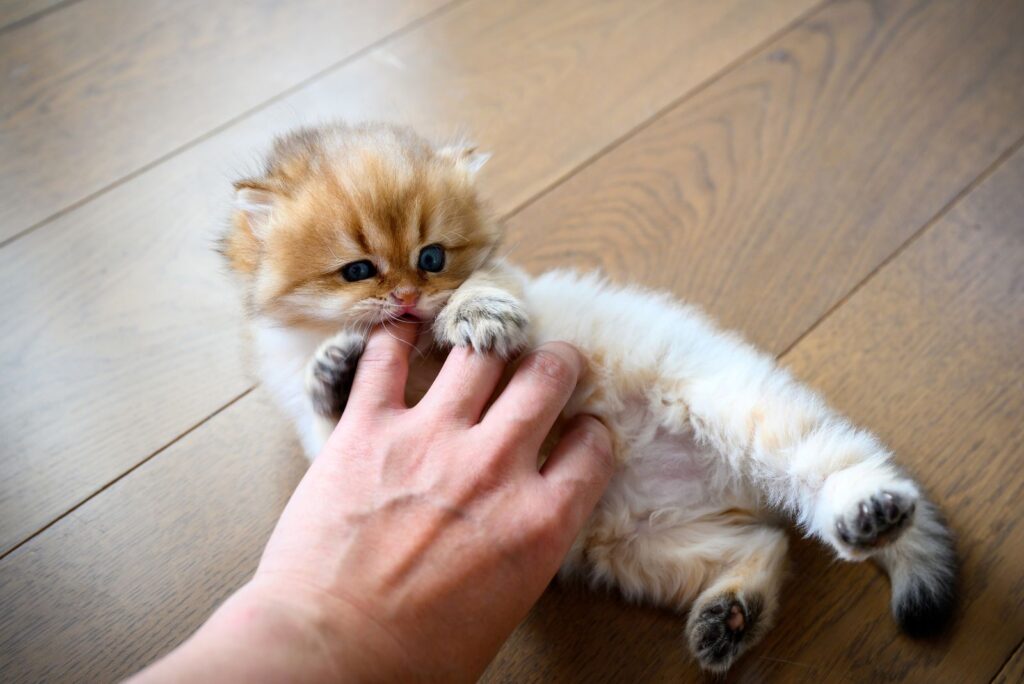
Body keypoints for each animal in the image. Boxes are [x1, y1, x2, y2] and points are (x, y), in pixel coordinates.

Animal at [220, 120, 954, 671]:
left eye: (432, 259)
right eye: (358, 270)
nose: (404, 297)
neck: (421, 360)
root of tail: (735, 483)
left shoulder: (531, 308)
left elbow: (493, 289)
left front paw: (473, 311)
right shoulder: (323, 435)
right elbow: (324, 407)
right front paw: (336, 368)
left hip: (738, 413)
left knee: (831, 466)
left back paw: (867, 512)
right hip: (640, 551)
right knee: (767, 546)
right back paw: (730, 617)